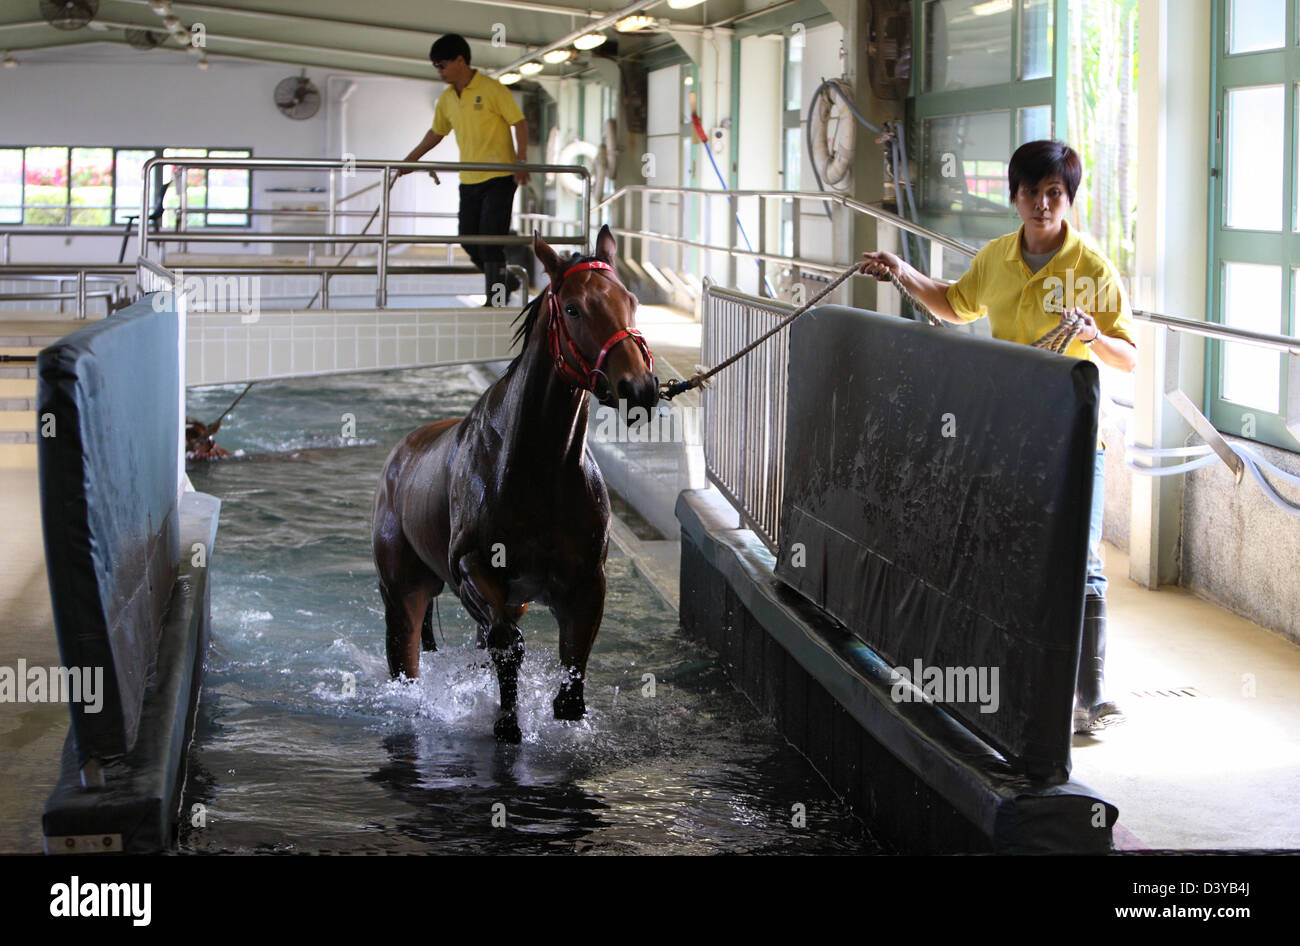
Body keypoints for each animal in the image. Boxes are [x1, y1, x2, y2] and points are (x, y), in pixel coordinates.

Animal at [371, 224, 659, 743]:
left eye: (630, 299)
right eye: (573, 308)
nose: (640, 388)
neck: (538, 472)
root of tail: (400, 457)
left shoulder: (585, 584)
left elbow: (570, 684)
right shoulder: (472, 571)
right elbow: (508, 646)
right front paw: (507, 724)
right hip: (403, 593)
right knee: (407, 653)